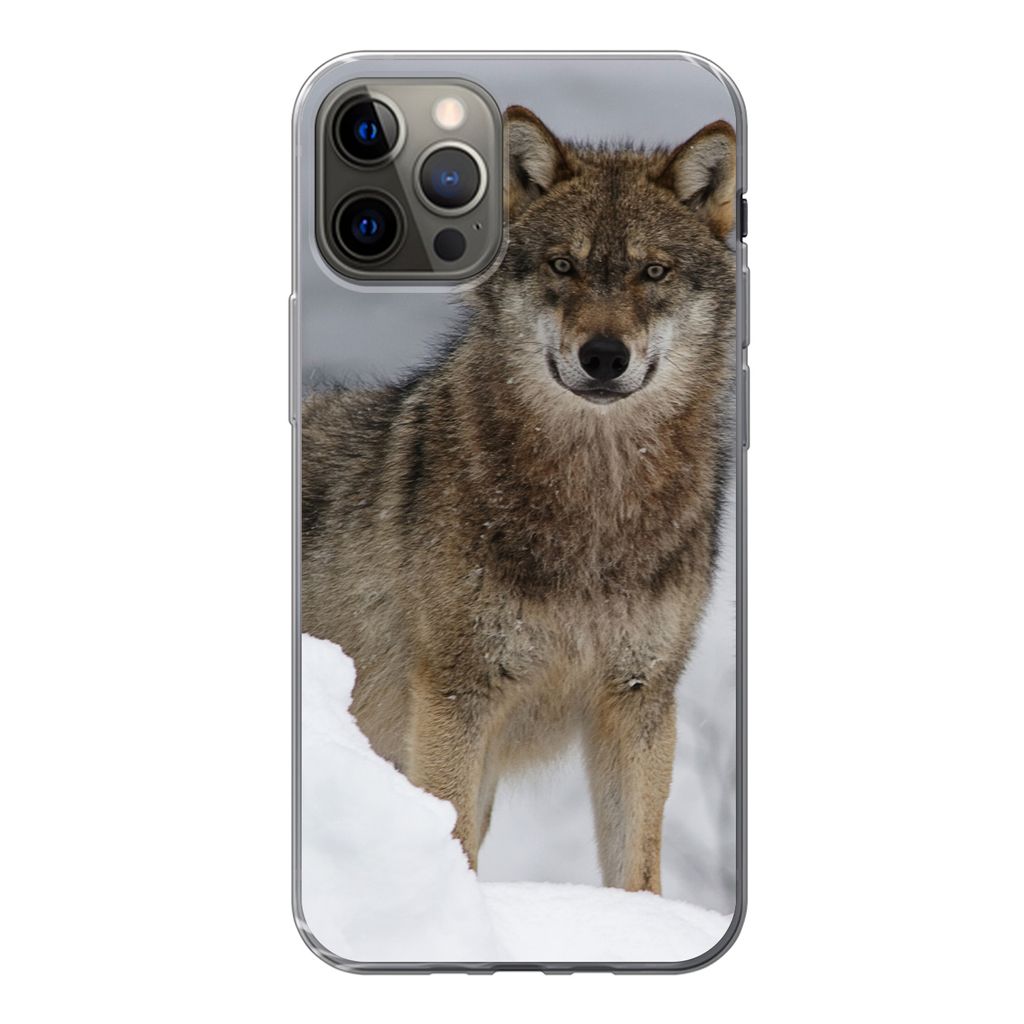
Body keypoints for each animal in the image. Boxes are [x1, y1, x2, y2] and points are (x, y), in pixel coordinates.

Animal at [302, 106, 736, 894]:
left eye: (653, 271)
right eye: (563, 266)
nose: (604, 356)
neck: (596, 504)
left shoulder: (640, 698)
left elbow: (637, 870)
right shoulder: (457, 694)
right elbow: (454, 839)